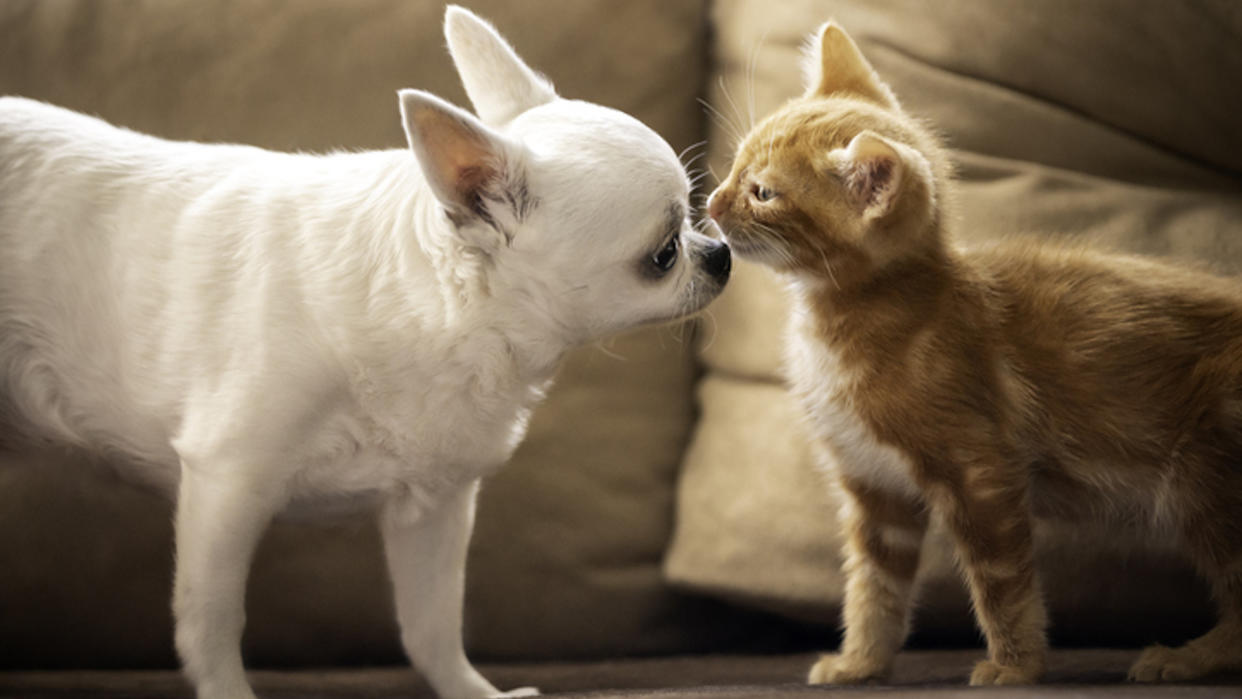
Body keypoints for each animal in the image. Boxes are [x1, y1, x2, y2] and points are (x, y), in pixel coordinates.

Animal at [0, 6, 725, 699]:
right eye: (663, 254)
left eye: (697, 214)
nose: (718, 252)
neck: (431, 305)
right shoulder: (227, 481)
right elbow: (212, 618)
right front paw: (229, 691)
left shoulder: (434, 508)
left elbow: (432, 623)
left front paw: (474, 692)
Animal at [710, 23, 1242, 690]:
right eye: (736, 165)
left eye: (763, 193)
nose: (709, 202)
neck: (843, 321)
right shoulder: (874, 488)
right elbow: (874, 586)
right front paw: (861, 662)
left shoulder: (979, 468)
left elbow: (1002, 581)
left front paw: (1015, 666)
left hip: (1206, 474)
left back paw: (1190, 657)